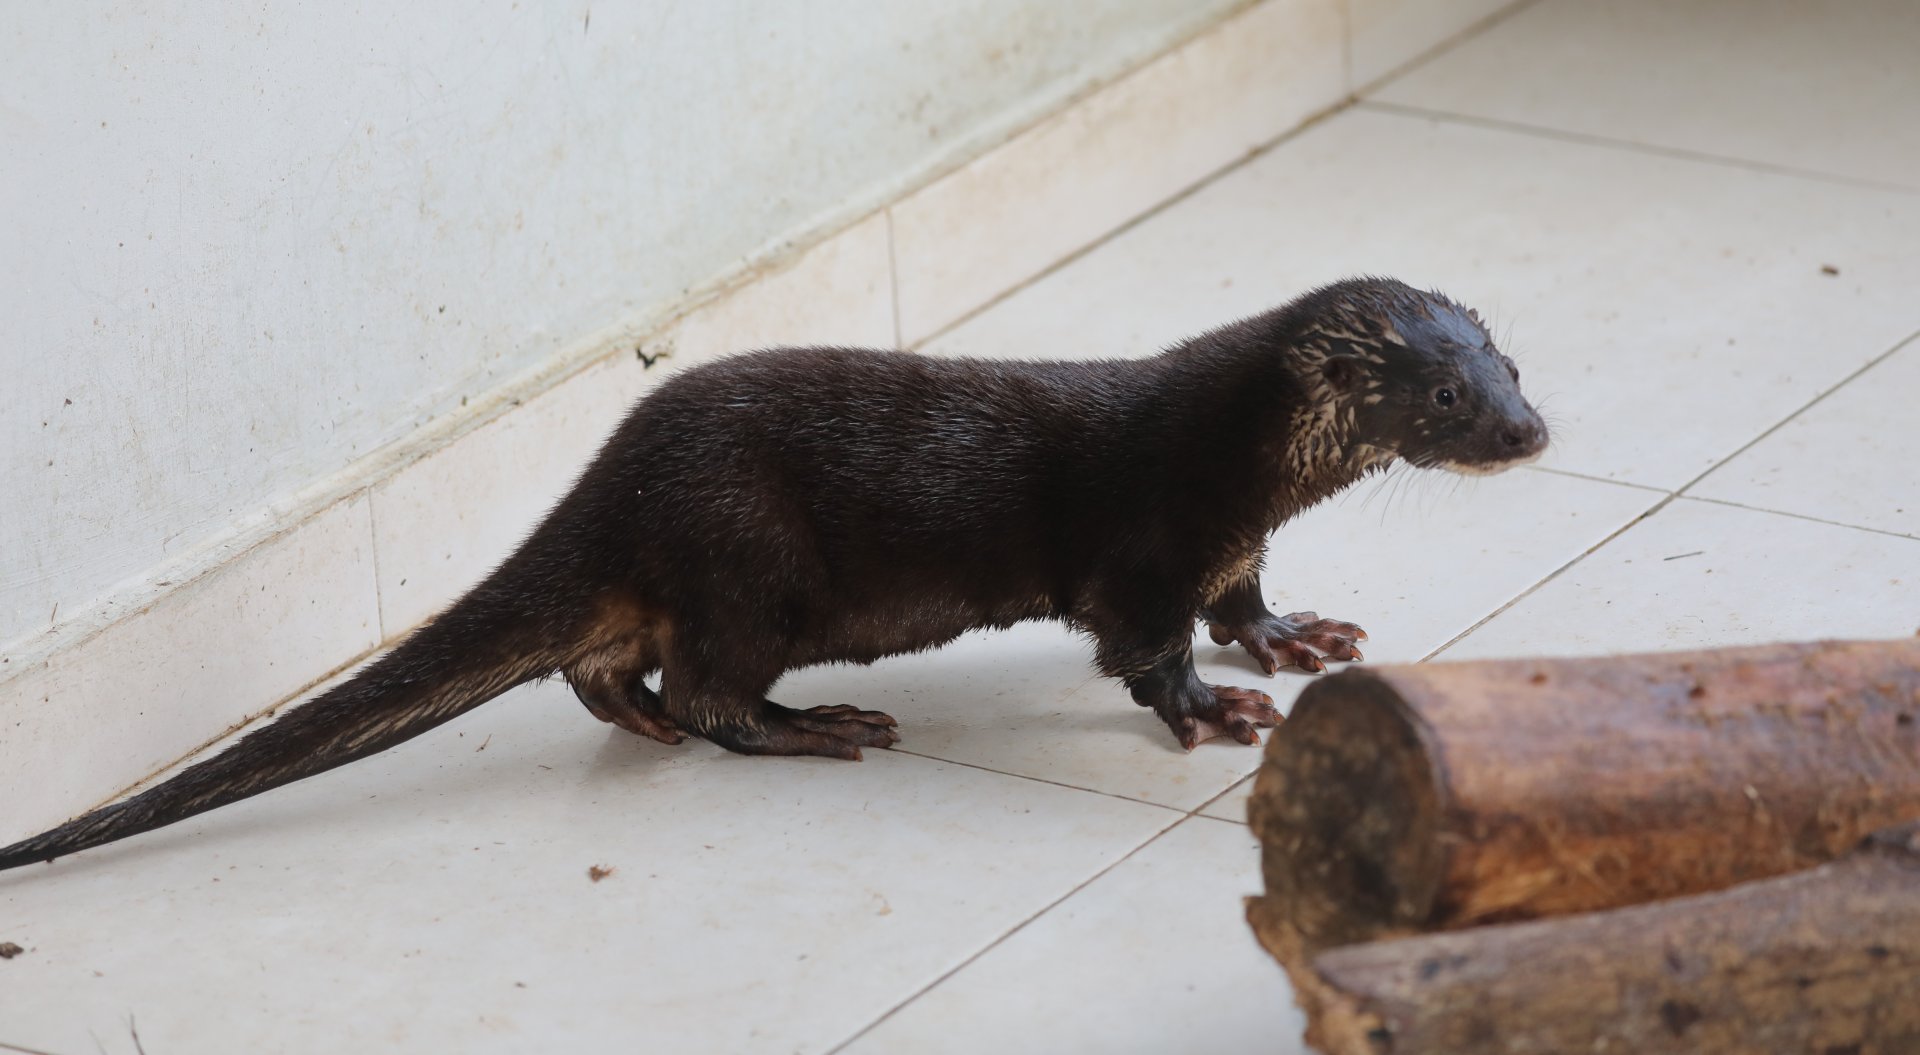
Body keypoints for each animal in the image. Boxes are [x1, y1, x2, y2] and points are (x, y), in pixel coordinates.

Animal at [0, 276, 1548, 871]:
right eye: (1446, 397)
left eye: (1513, 365)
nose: (1533, 432)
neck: (1231, 453)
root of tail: (612, 477)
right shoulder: (1152, 542)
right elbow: (1145, 651)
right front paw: (1217, 713)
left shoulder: (1231, 540)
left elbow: (1244, 601)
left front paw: (1295, 637)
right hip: (748, 560)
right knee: (707, 687)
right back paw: (820, 724)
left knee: (606, 664)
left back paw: (640, 715)